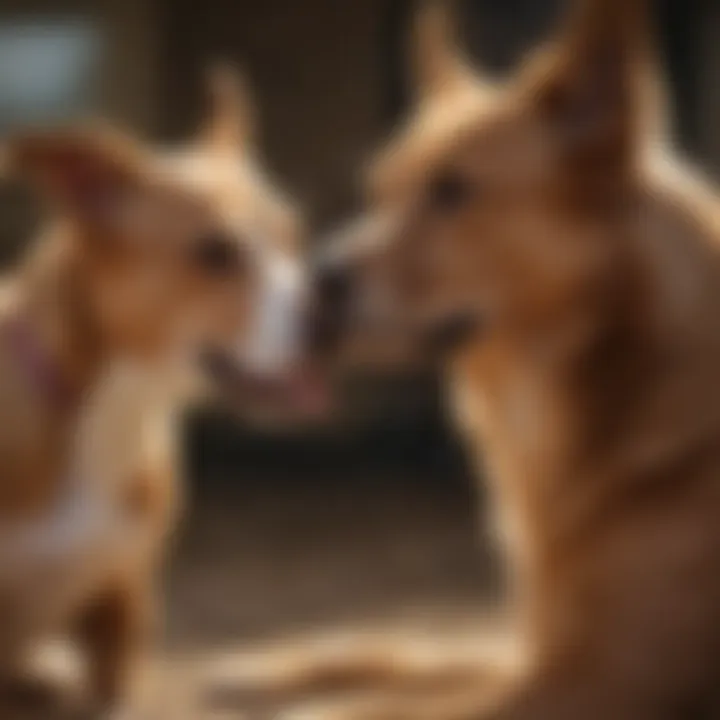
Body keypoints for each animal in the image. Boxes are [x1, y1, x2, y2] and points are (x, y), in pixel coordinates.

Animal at [310, 0, 720, 716]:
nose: (316, 277)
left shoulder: (609, 681)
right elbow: (399, 655)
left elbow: (398, 707)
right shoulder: (537, 655)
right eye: (378, 190)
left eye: (453, 191)